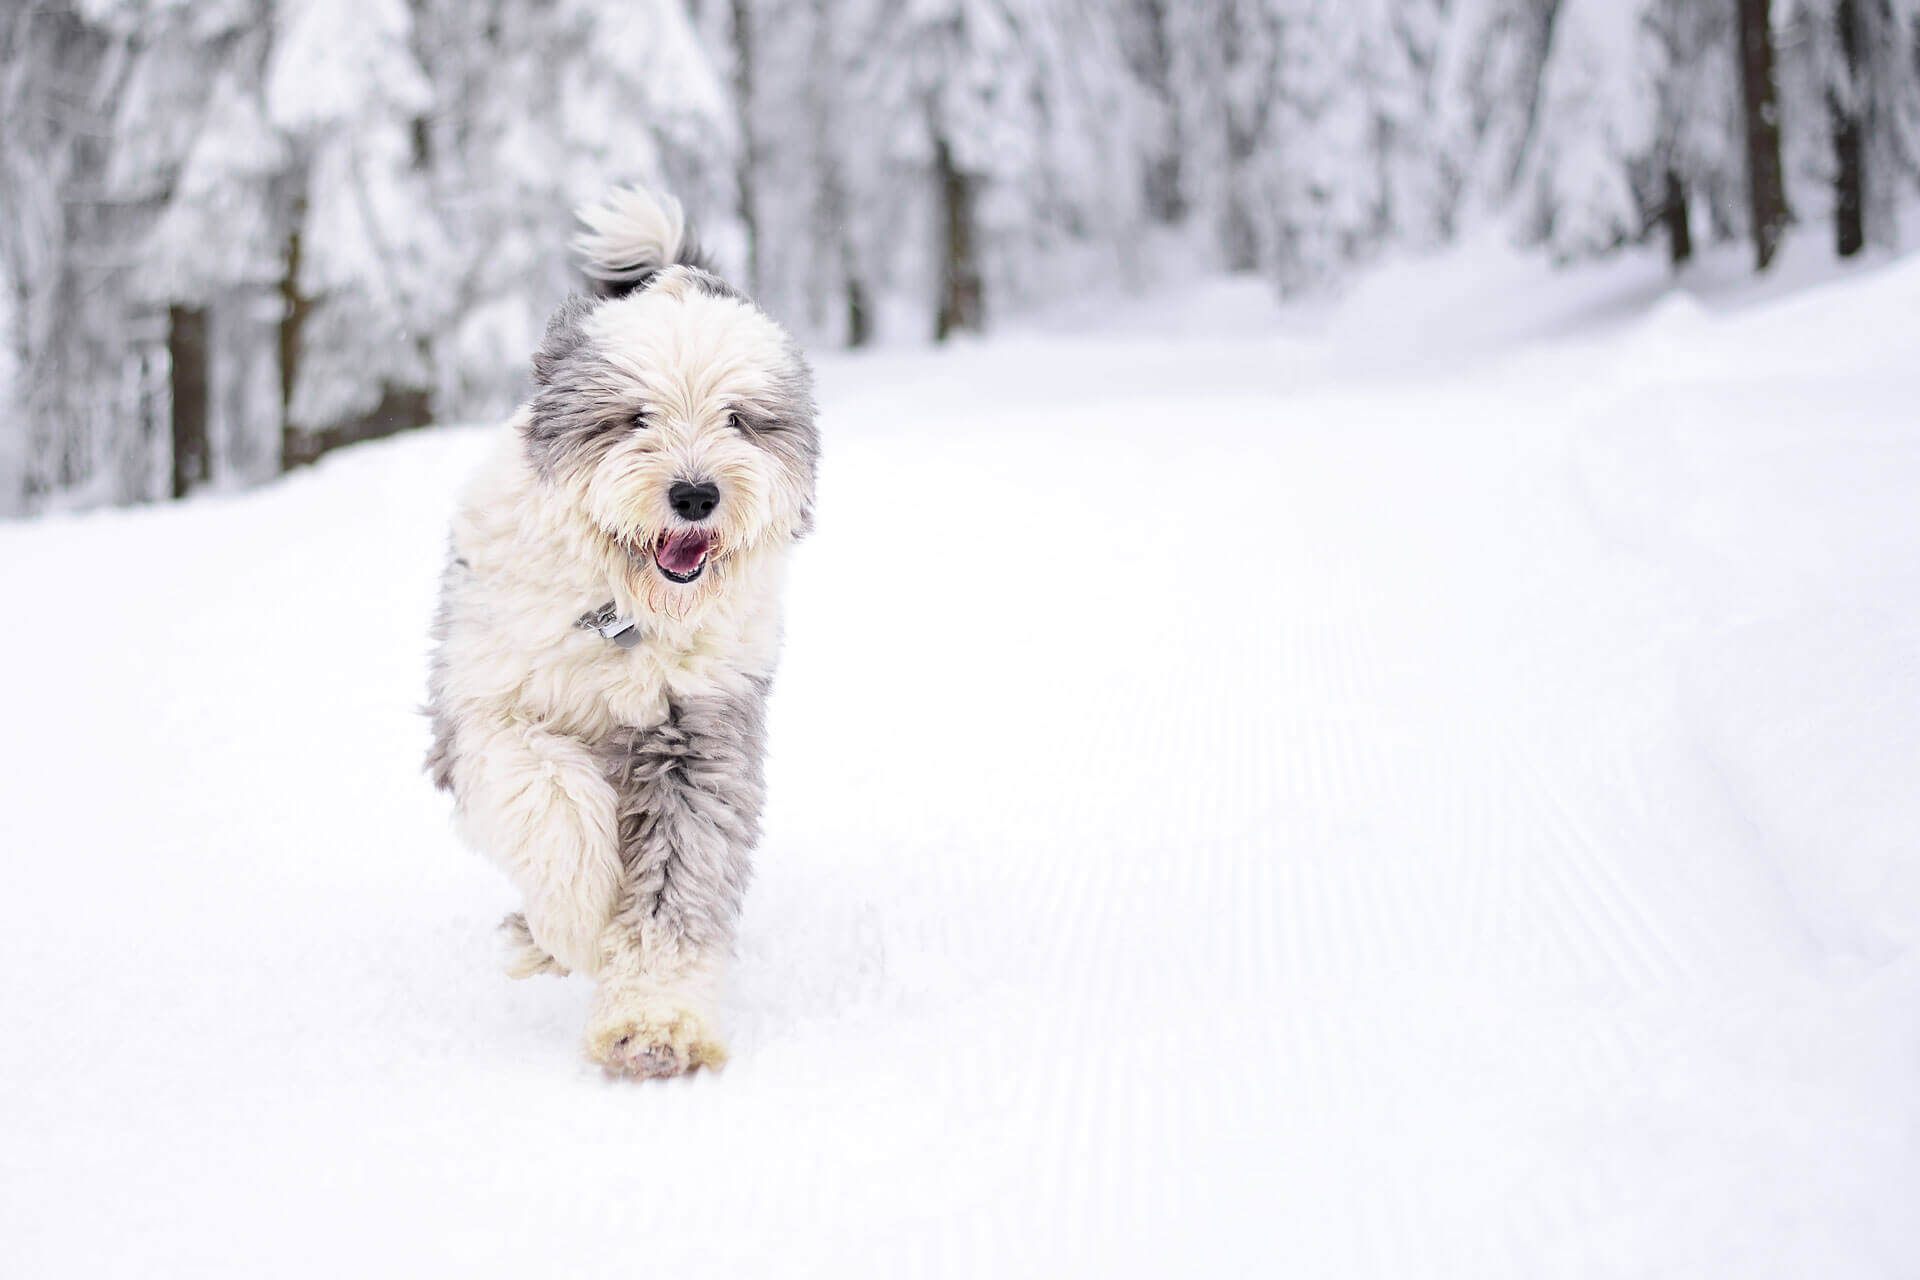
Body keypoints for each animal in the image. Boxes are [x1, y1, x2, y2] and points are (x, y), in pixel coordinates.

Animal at [428, 182, 817, 1082]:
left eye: (739, 419)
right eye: (635, 417)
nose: (696, 494)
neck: (623, 618)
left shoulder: (698, 737)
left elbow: (675, 887)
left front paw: (654, 1026)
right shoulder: (484, 711)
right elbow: (552, 805)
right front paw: (579, 927)